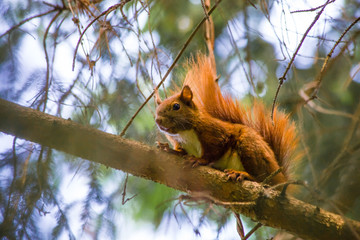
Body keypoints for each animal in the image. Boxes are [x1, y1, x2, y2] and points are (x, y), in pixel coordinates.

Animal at [155, 54, 298, 186]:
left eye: (176, 106)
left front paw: (200, 160)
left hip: (251, 147)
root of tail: (279, 175)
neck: (184, 133)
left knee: (261, 179)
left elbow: (214, 150)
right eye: (156, 109)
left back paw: (242, 174)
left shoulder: (214, 132)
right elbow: (181, 152)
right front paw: (168, 149)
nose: (158, 120)